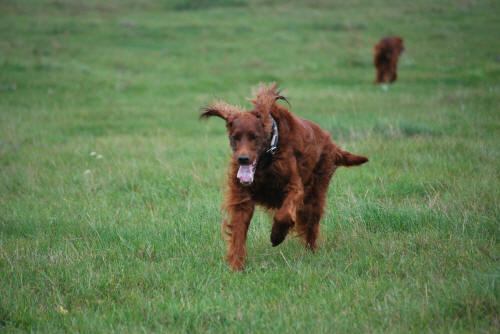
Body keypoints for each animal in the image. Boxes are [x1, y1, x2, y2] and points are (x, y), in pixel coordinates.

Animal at [199, 84, 368, 272]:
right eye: (235, 137)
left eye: (254, 137)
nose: (242, 159)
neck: (266, 160)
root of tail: (331, 144)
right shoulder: (242, 199)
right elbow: (238, 233)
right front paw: (236, 266)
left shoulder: (295, 187)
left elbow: (283, 215)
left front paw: (277, 235)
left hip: (315, 194)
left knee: (311, 225)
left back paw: (311, 252)